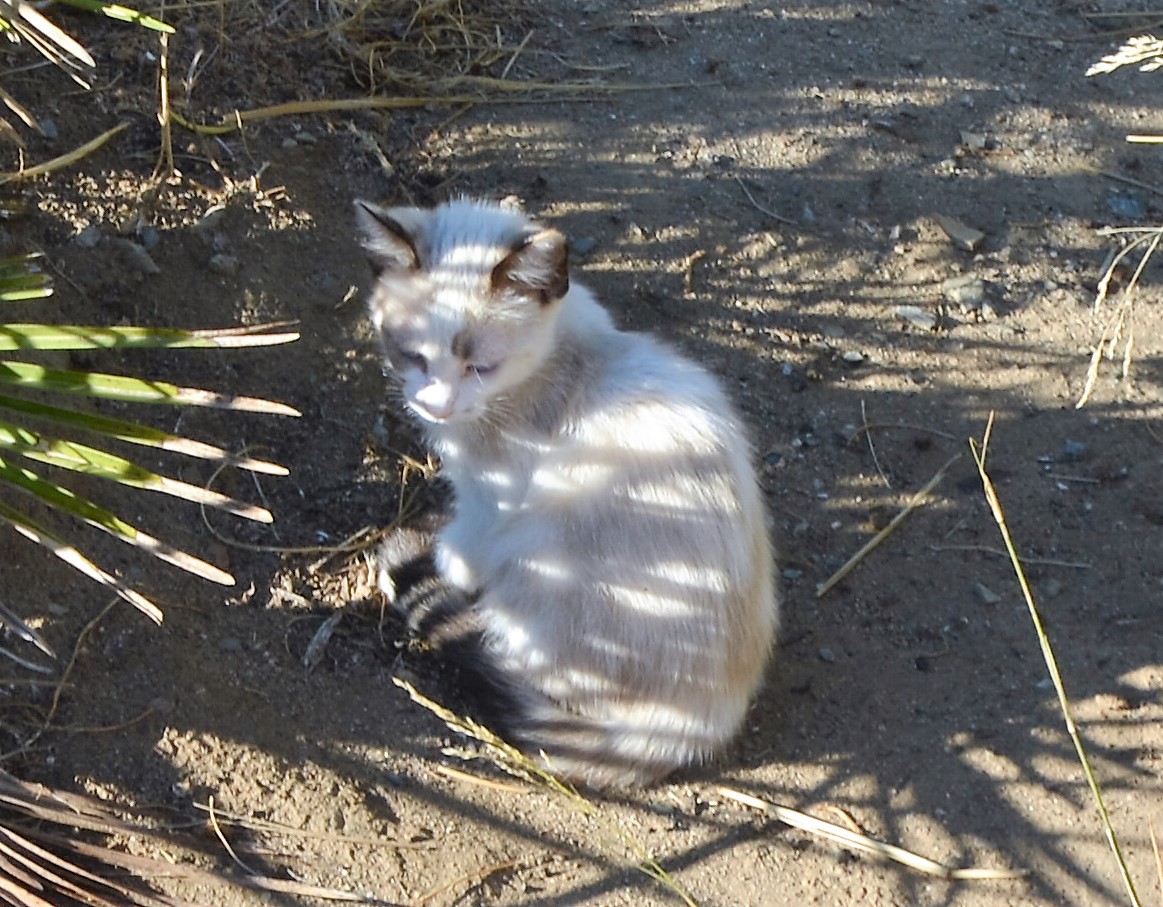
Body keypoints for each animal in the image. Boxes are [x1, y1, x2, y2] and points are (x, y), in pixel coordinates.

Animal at [356, 198, 779, 788]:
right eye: (412, 356)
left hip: (540, 554)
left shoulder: (491, 494)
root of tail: (698, 727)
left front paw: (444, 559)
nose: (436, 407)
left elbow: (467, 541)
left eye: (480, 367)